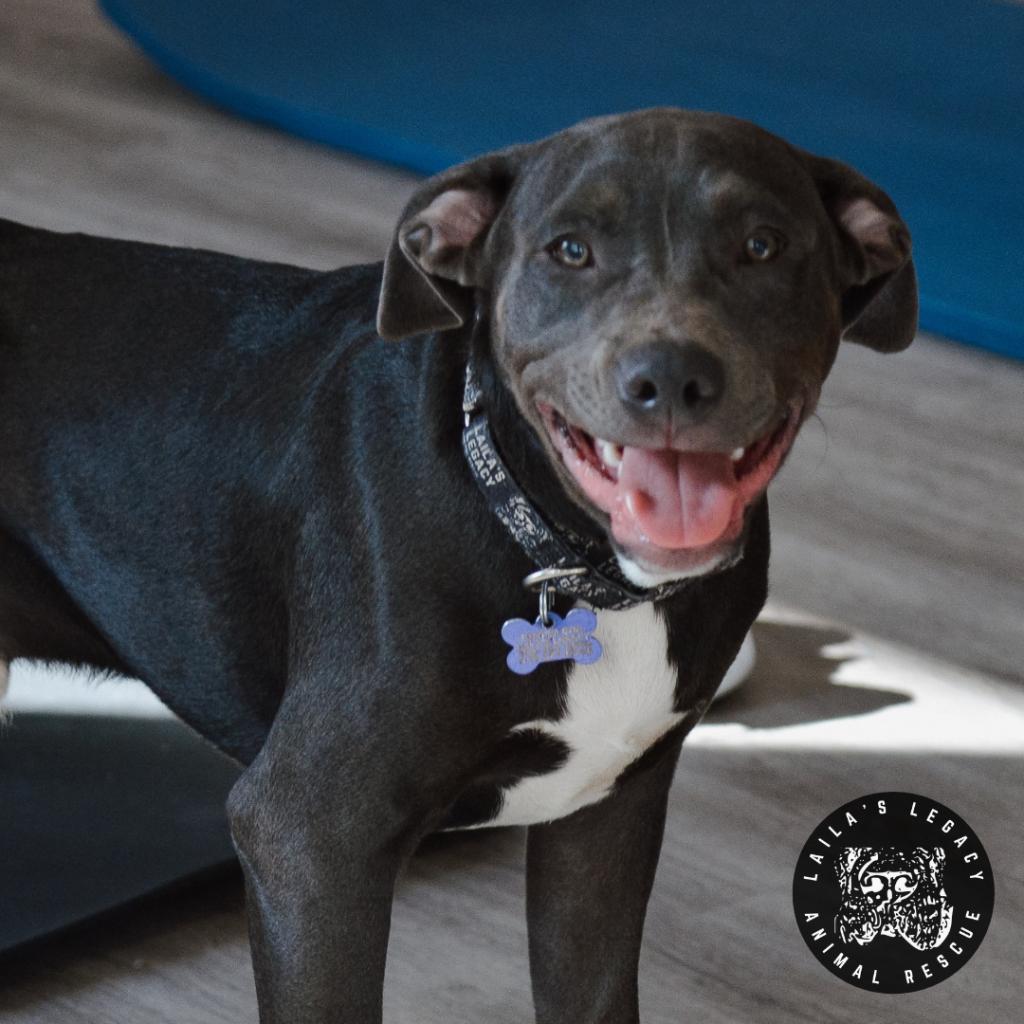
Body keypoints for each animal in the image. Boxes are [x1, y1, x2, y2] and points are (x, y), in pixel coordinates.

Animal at [0, 108, 917, 1019]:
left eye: (763, 245)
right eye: (570, 250)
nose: (671, 377)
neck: (577, 570)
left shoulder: (604, 825)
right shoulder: (309, 838)